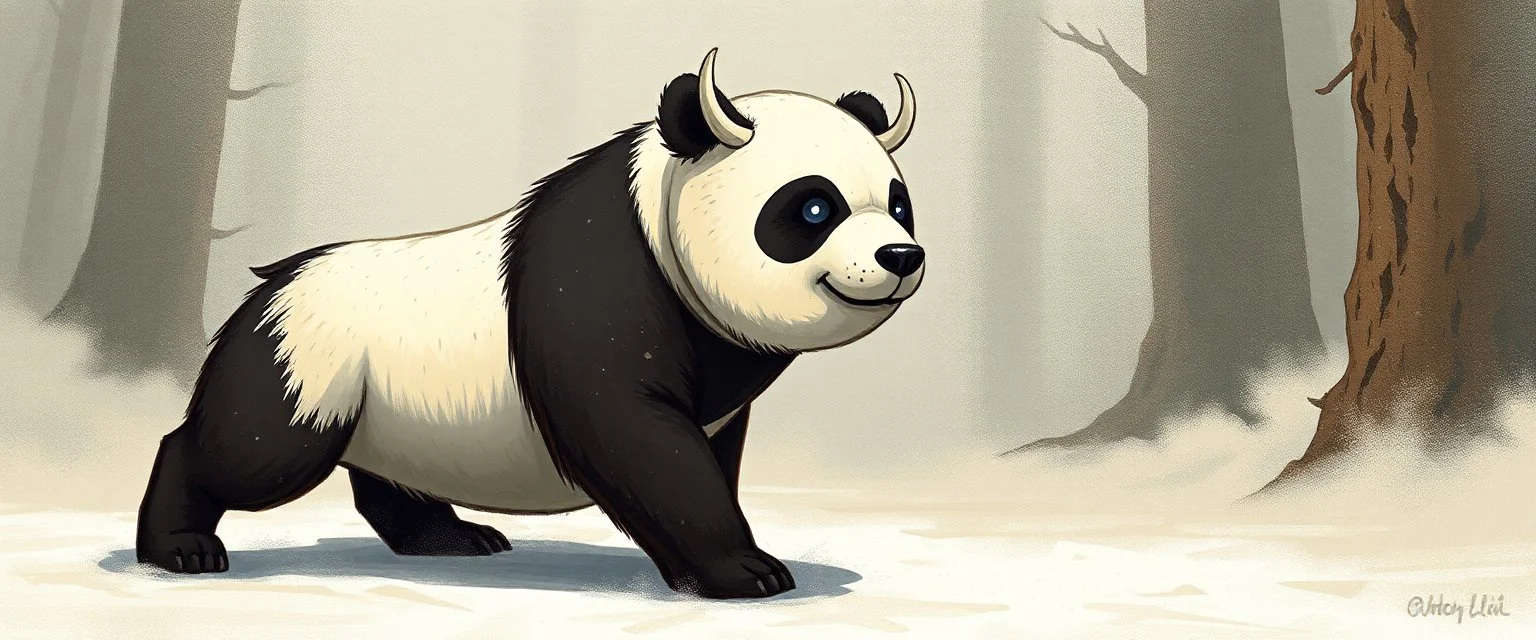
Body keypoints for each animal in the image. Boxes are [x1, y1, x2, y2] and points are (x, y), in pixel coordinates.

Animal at [135, 49, 923, 600]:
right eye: (813, 207)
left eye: (898, 203)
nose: (901, 255)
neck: (660, 218)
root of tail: (270, 283)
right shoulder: (597, 287)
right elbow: (634, 435)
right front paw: (746, 571)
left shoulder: (718, 364)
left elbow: (711, 446)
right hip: (309, 362)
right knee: (247, 449)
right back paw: (180, 549)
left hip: (388, 402)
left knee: (386, 475)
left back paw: (450, 537)